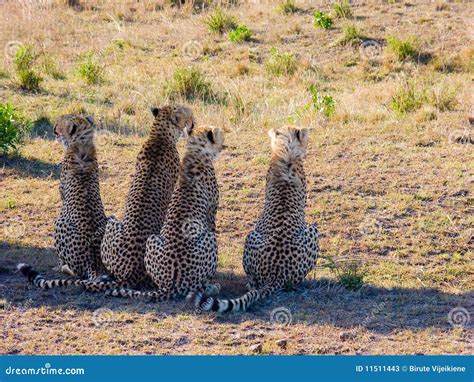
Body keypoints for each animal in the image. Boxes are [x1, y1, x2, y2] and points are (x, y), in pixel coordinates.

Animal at [17, 115, 110, 288]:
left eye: (60, 122)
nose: (54, 128)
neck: (81, 141)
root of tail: (93, 263)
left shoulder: (62, 193)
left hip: (59, 222)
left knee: (75, 271)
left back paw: (61, 266)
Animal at [108, 127, 225, 300]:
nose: (223, 141)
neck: (196, 153)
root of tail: (173, 283)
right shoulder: (211, 216)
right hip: (208, 240)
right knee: (196, 287)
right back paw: (212, 287)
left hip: (152, 239)